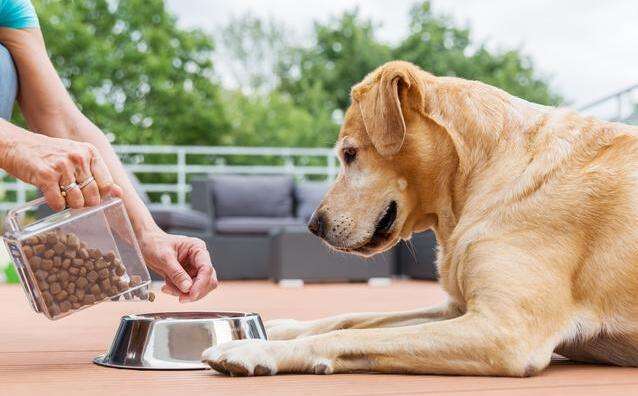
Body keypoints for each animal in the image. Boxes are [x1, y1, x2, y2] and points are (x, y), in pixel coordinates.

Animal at [202, 60, 638, 376]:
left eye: (349, 154)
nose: (313, 225)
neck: (481, 174)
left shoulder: (505, 331)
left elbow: (350, 338)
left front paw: (256, 348)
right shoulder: (456, 309)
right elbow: (350, 319)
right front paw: (279, 328)